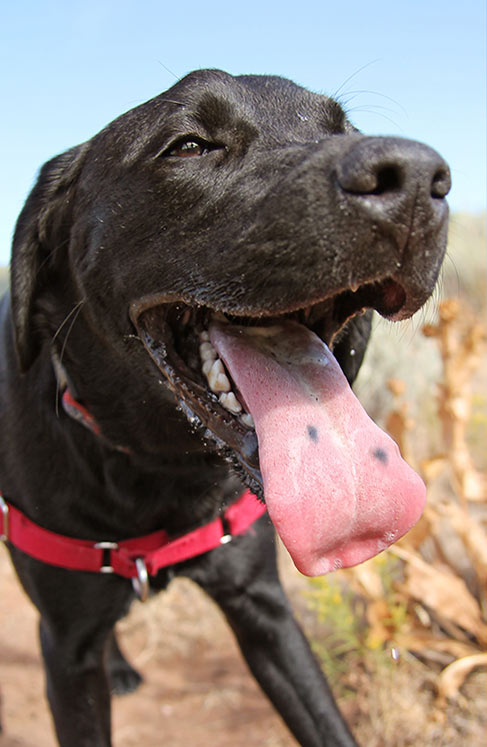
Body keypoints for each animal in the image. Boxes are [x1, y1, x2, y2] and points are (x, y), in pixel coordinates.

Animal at [0, 67, 450, 744]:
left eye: (345, 129)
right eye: (188, 145)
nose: (420, 181)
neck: (153, 468)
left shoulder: (263, 608)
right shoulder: (67, 651)